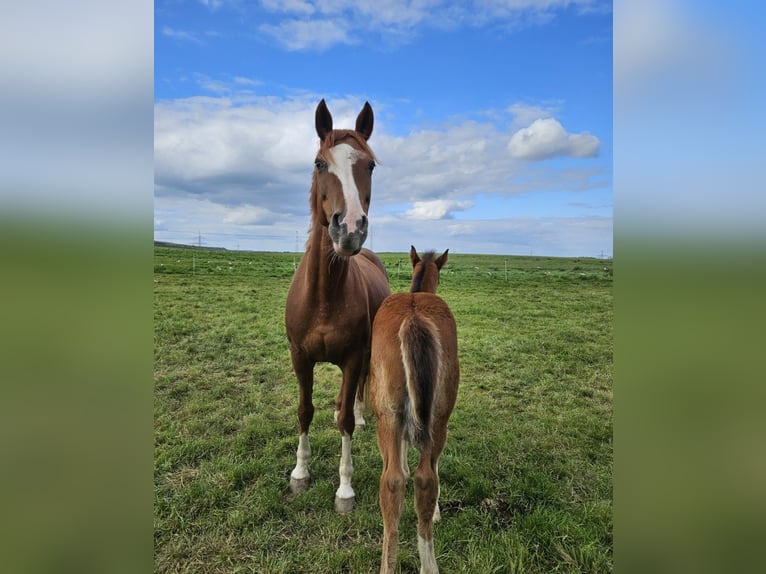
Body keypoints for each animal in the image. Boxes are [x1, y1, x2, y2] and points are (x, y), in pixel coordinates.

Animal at [285, 99, 391, 514]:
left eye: (370, 165)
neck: (324, 296)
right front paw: (300, 473)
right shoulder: (299, 357)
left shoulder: (352, 357)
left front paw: (344, 489)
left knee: (357, 392)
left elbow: (344, 419)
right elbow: (305, 410)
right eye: (319, 162)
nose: (349, 228)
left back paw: (361, 417)